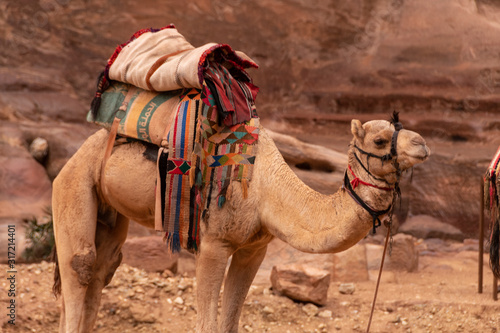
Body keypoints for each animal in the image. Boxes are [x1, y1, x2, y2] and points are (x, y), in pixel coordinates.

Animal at [52, 113, 432, 330]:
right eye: (380, 140)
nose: (423, 143)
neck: (267, 190)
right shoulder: (213, 243)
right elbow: (207, 323)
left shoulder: (254, 249)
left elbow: (231, 320)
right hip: (74, 182)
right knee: (80, 266)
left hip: (109, 210)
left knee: (101, 272)